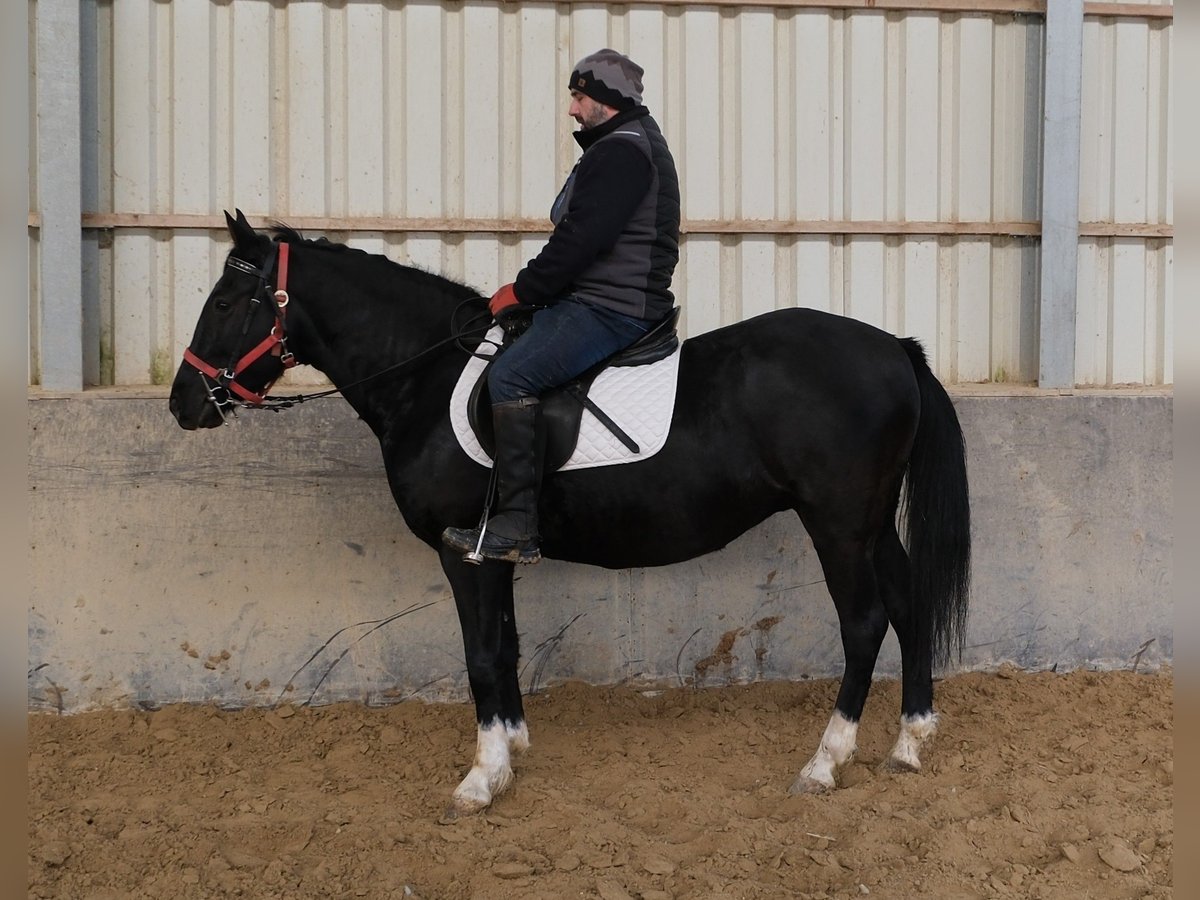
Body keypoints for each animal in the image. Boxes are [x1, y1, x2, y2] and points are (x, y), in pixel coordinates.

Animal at [169, 210, 971, 816]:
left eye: (224, 303)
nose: (183, 403)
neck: (427, 376)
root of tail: (893, 347)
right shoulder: (495, 550)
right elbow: (507, 646)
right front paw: (512, 751)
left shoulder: (463, 551)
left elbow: (480, 653)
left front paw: (480, 778)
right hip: (871, 522)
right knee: (908, 604)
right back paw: (909, 743)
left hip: (837, 522)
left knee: (864, 622)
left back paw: (825, 762)